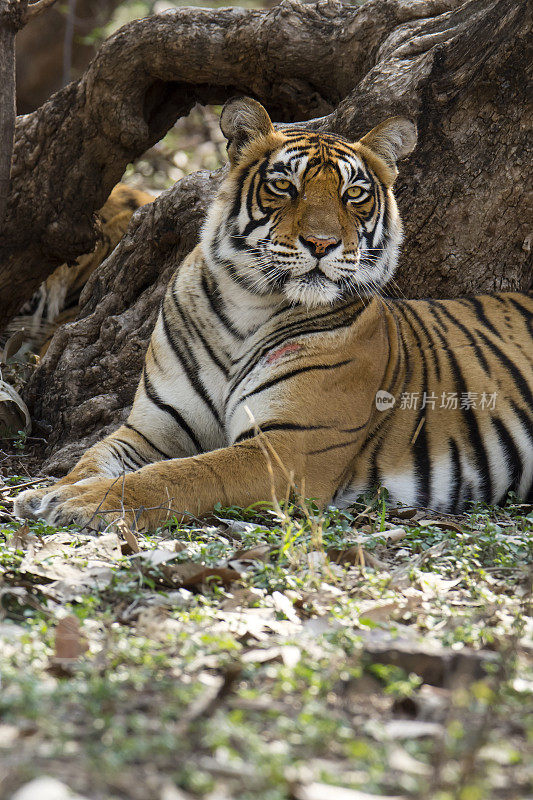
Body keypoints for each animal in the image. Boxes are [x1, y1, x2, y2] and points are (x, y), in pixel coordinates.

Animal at [13, 95, 532, 532]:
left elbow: (180, 475)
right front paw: (48, 492)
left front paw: (84, 501)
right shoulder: (153, 427)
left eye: (354, 194)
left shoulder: (288, 446)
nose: (322, 243)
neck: (248, 306)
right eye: (284, 185)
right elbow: (93, 458)